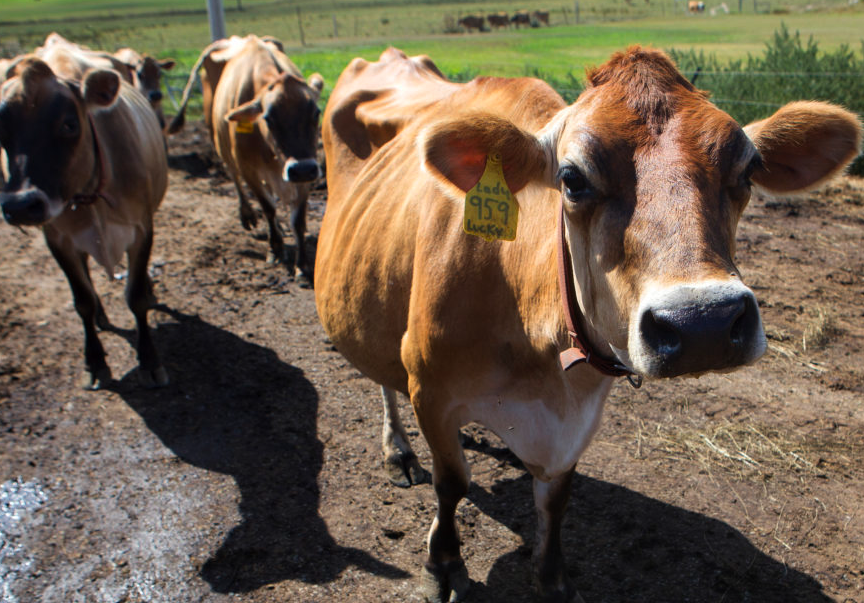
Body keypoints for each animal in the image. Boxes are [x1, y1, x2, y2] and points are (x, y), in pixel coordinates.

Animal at [0, 49, 171, 390]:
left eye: (69, 124)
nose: (20, 205)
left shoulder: (142, 229)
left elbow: (136, 297)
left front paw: (149, 360)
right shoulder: (58, 241)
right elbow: (82, 301)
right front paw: (95, 361)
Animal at [170, 34, 326, 284]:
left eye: (316, 113)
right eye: (268, 118)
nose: (301, 169)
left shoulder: (306, 171)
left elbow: (298, 220)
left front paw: (302, 264)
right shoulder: (249, 170)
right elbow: (268, 207)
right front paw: (275, 249)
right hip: (218, 140)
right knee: (234, 177)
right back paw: (248, 215)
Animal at [318, 46, 864, 603]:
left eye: (748, 170)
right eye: (571, 178)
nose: (703, 323)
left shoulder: (578, 418)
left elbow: (556, 497)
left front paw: (553, 576)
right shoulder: (430, 386)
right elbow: (452, 483)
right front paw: (444, 565)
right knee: (384, 382)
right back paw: (398, 451)